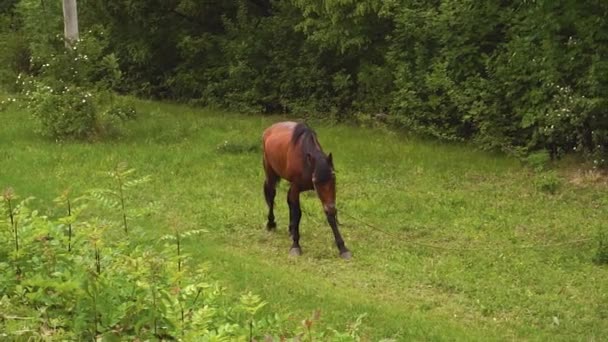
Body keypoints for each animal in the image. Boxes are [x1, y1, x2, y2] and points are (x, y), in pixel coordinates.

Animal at [262, 121, 352, 258]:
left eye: (333, 178)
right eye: (316, 181)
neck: (306, 164)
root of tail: (270, 129)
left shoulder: (326, 197)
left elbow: (329, 215)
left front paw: (342, 248)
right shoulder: (296, 187)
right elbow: (297, 213)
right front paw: (295, 246)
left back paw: (291, 229)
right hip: (271, 173)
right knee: (272, 195)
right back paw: (271, 223)